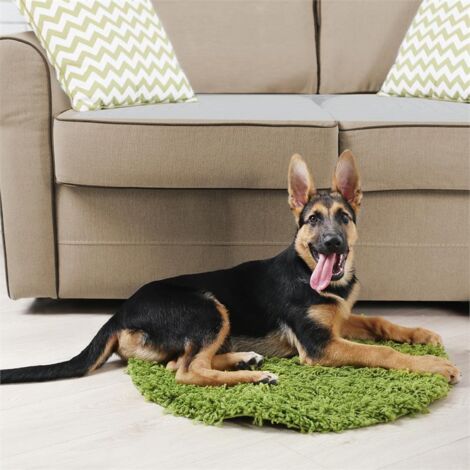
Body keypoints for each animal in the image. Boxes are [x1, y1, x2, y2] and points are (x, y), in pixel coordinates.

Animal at [0, 151, 461, 386]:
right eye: (313, 220)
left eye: (344, 218)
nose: (332, 243)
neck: (308, 271)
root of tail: (120, 311)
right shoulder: (320, 345)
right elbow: (381, 352)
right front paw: (434, 365)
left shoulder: (338, 320)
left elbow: (382, 322)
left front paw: (422, 335)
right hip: (208, 307)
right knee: (185, 372)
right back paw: (252, 378)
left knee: (177, 364)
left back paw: (245, 360)